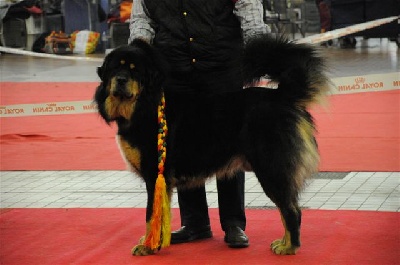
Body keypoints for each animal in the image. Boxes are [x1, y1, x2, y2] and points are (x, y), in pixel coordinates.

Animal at [94, 35, 328, 256]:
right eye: (115, 68)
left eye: (135, 70)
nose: (121, 80)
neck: (145, 104)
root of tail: (283, 96)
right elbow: (160, 213)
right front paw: (153, 241)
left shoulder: (155, 175)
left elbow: (150, 214)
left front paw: (147, 247)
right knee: (288, 207)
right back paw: (285, 243)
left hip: (270, 167)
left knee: (291, 209)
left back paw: (289, 247)